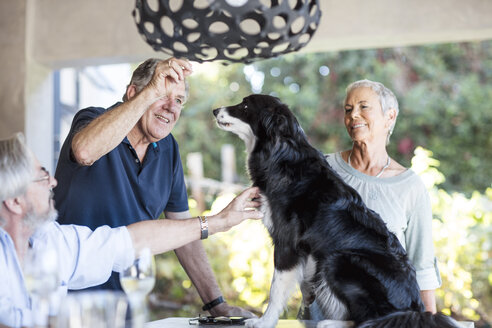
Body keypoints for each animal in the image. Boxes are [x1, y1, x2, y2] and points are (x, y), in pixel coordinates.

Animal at [212, 93, 462, 326]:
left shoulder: (287, 242)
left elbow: (276, 289)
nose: (215, 110)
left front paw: (264, 321)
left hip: (339, 261)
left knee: (371, 318)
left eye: (245, 105)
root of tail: (413, 309)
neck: (282, 154)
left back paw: (330, 322)